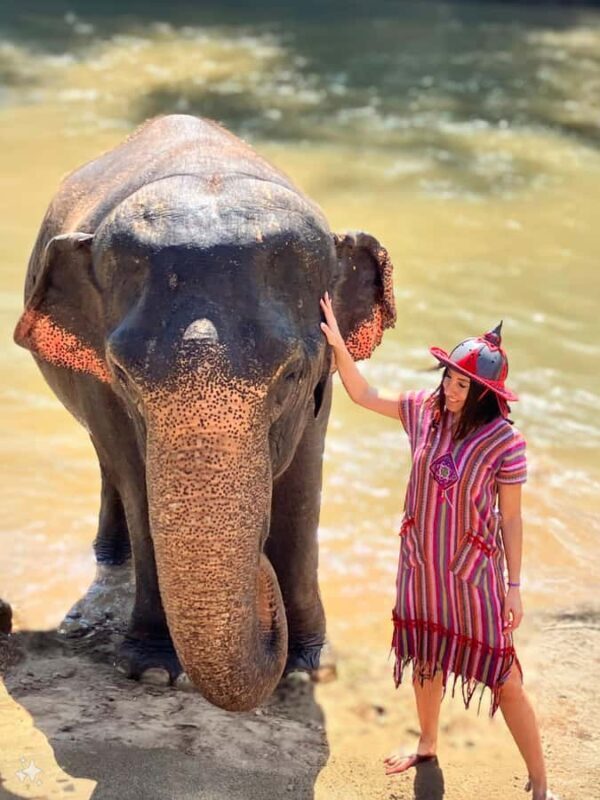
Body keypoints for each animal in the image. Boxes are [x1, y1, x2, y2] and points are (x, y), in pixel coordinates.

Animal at [13, 114, 396, 712]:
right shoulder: (102, 383)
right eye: (123, 374)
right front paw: (152, 671)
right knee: (108, 465)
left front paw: (308, 669)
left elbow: (303, 485)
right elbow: (137, 481)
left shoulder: (326, 379)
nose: (261, 586)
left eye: (291, 376)